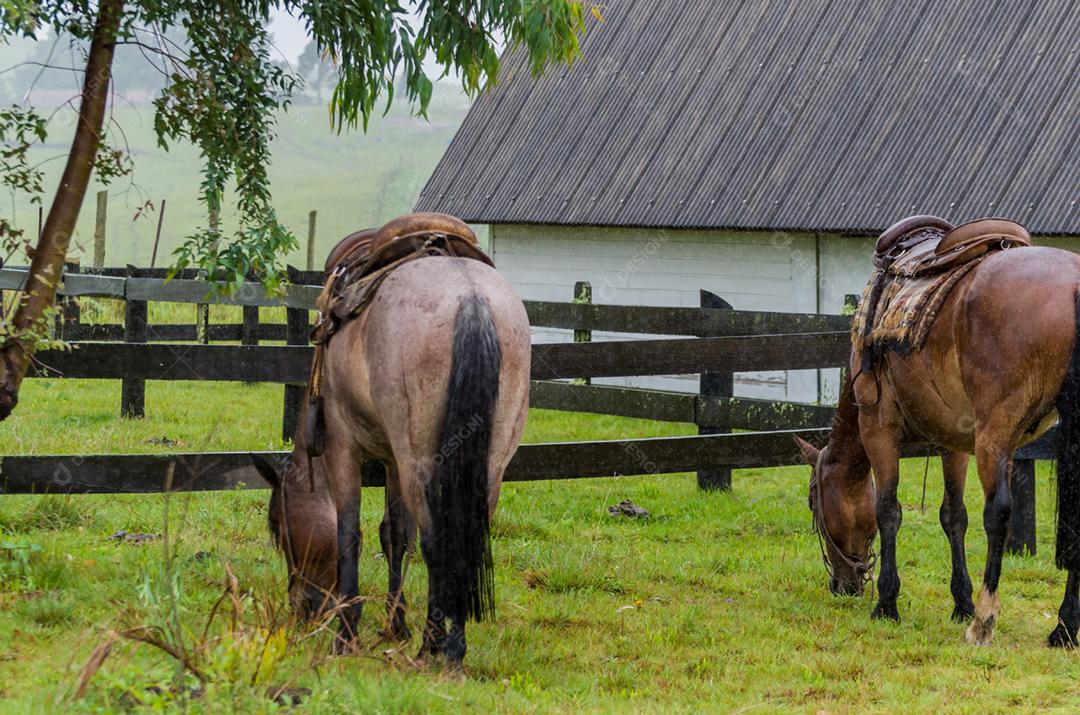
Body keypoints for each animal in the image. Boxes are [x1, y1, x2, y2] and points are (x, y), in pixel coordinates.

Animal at [251, 215, 531, 667]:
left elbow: (351, 534)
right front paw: (395, 623)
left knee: (438, 542)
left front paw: (346, 633)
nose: (302, 606)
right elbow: (395, 533)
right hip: (488, 464)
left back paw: (438, 646)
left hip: (423, 460)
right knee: (465, 538)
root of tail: (470, 298)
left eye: (277, 527)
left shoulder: (343, 448)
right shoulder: (394, 461)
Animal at [798, 223, 1080, 647]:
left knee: (998, 513)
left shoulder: (877, 429)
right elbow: (954, 516)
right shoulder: (954, 443)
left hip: (994, 436)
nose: (843, 586)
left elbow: (888, 511)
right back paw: (1063, 628)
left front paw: (887, 604)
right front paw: (960, 601)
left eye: (813, 502)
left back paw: (983, 622)